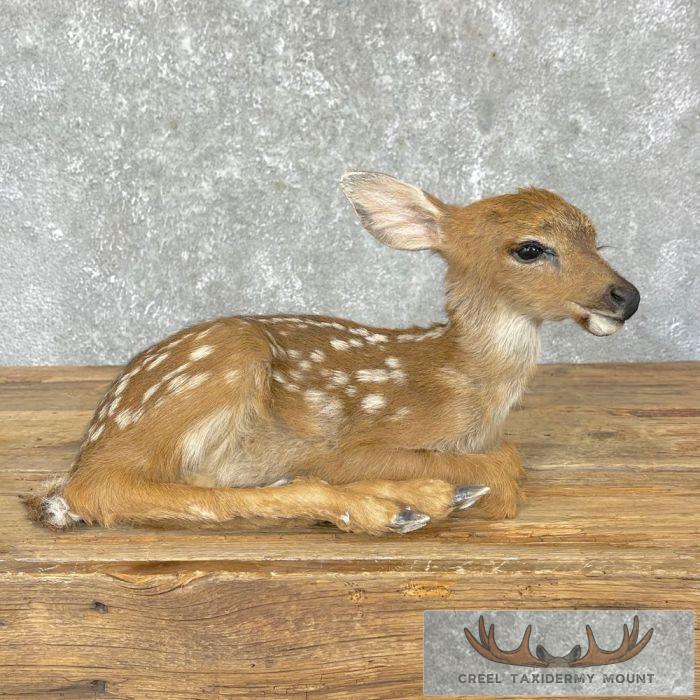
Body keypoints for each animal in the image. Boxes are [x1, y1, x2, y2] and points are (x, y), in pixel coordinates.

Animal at [23, 172, 640, 535]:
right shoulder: (356, 441)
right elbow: (503, 473)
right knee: (103, 488)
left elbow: (509, 458)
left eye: (596, 240)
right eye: (530, 249)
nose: (627, 296)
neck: (462, 381)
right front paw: (463, 487)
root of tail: (97, 429)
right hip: (225, 361)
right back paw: (396, 506)